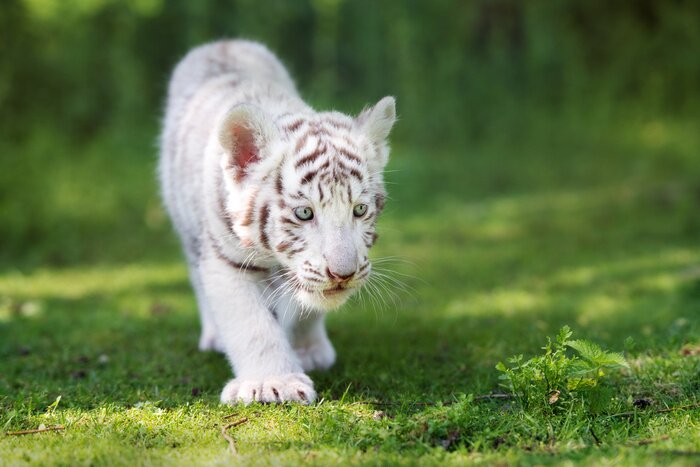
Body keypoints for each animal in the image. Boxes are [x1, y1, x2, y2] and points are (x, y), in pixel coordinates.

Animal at [159, 40, 395, 404]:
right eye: (304, 213)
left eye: (358, 210)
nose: (343, 274)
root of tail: (223, 43)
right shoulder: (227, 260)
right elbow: (252, 325)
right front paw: (272, 382)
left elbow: (308, 304)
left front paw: (308, 350)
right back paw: (214, 336)